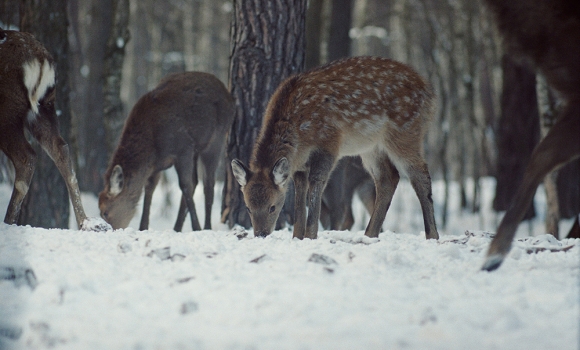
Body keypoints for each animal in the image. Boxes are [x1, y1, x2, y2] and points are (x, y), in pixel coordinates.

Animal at [0, 28, 95, 230]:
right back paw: (86, 222)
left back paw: (8, 222)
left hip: (7, 112)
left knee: (27, 156)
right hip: (45, 106)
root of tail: (40, 61)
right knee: (61, 149)